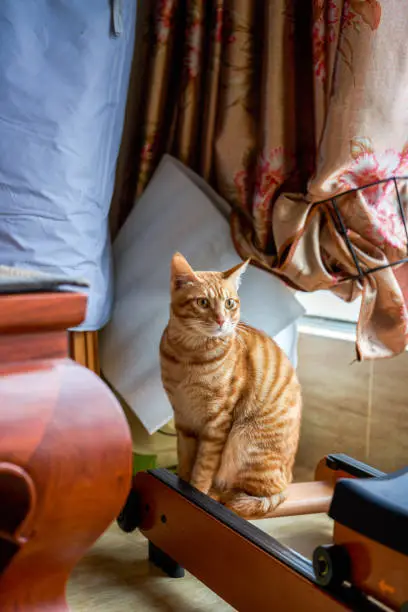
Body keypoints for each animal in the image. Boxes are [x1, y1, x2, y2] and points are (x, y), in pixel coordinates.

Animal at [160, 252, 302, 516]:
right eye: (202, 302)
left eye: (229, 303)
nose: (221, 320)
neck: (188, 354)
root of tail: (290, 478)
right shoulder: (183, 418)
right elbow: (185, 460)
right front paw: (180, 485)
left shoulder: (217, 423)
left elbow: (203, 469)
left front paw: (196, 494)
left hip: (243, 441)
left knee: (254, 492)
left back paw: (220, 494)